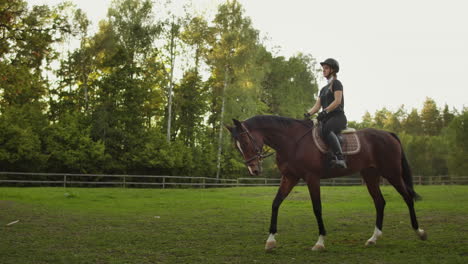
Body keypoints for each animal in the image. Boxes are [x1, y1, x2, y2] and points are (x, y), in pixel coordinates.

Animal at [227, 115, 428, 252]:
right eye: (237, 146)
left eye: (245, 141)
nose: (254, 170)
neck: (292, 142)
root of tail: (388, 134)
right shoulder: (290, 178)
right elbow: (275, 203)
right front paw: (270, 240)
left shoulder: (312, 178)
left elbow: (317, 208)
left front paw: (320, 242)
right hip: (370, 175)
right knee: (380, 202)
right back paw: (373, 238)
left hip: (392, 173)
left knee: (407, 197)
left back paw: (419, 232)